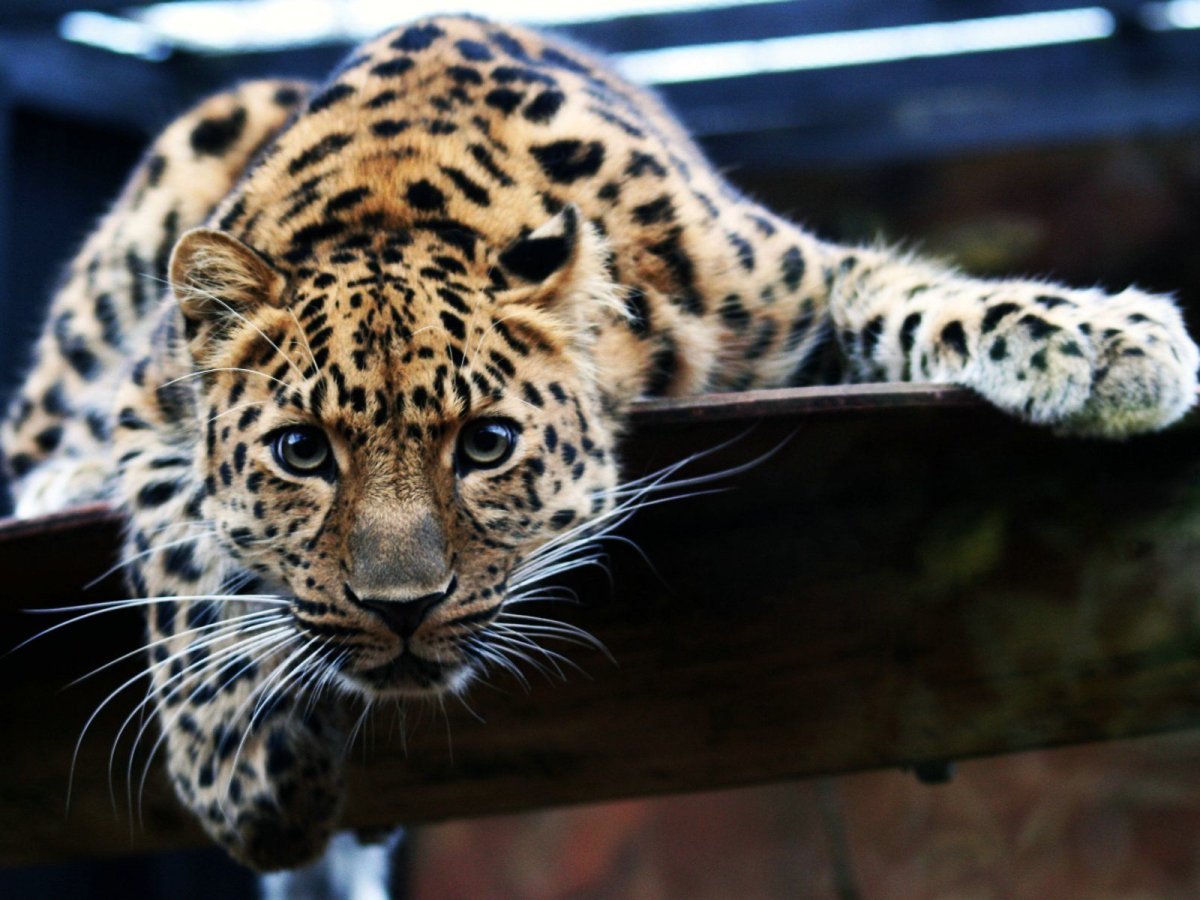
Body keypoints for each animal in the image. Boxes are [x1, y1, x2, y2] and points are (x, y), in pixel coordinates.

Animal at [2, 15, 1196, 872]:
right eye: (302, 453)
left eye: (486, 444)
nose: (400, 610)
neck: (394, 204)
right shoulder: (152, 410)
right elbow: (182, 572)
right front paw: (249, 778)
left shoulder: (794, 287)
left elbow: (914, 296)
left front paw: (1108, 343)